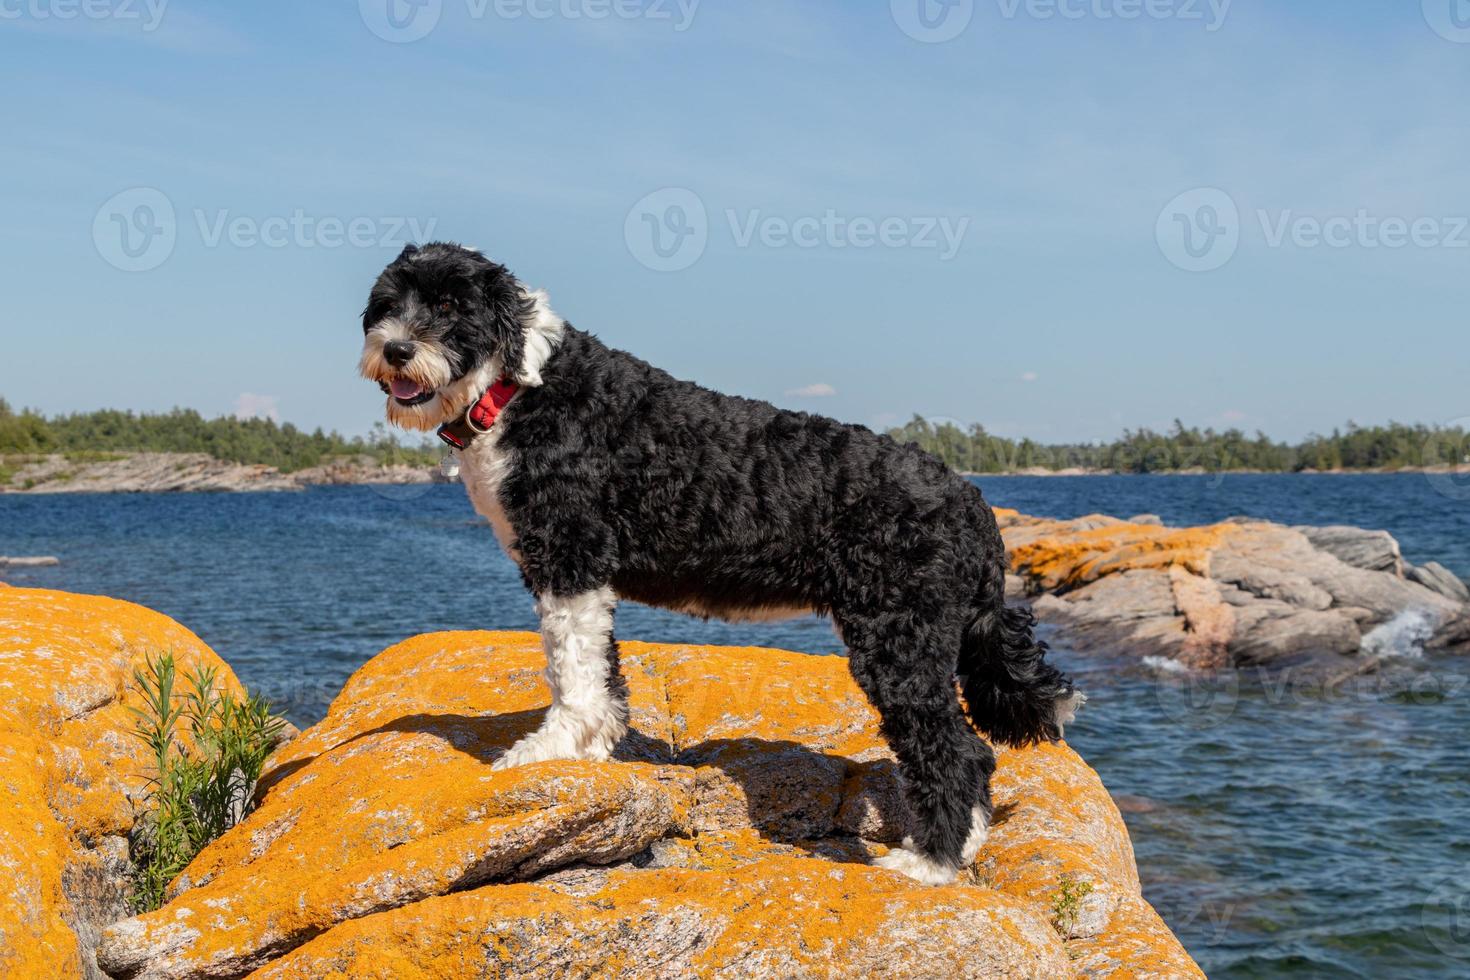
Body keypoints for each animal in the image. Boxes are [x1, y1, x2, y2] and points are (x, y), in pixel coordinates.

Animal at [355, 240, 1081, 887]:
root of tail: (971, 502)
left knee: (956, 752)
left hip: (899, 638)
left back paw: (927, 863)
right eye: (387, 304)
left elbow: (571, 671)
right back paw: (963, 848)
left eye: (449, 305)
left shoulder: (568, 559)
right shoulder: (584, 577)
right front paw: (593, 748)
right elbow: (600, 671)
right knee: (976, 758)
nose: (396, 349)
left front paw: (550, 749)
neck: (518, 390)